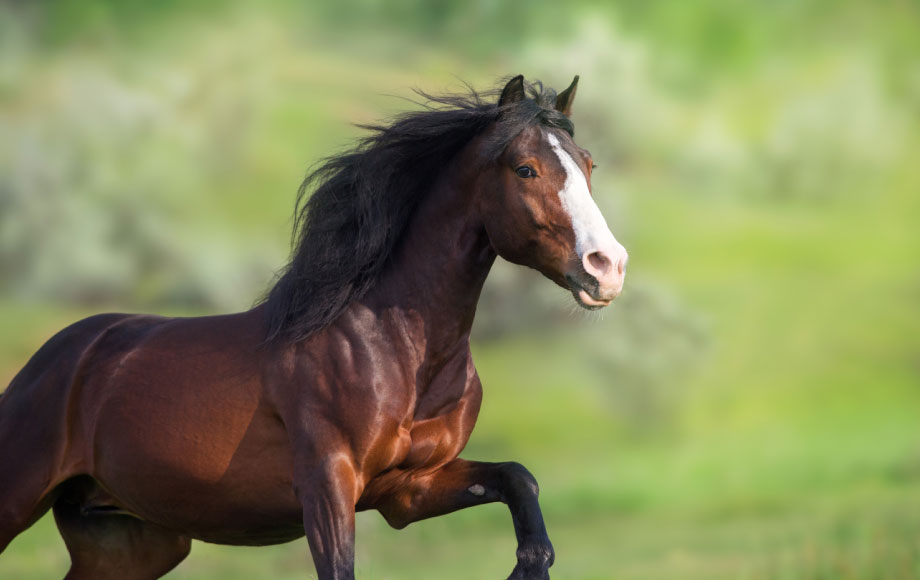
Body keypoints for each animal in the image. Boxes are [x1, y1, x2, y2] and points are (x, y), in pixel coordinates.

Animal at [0, 74, 628, 580]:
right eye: (526, 168)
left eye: (589, 164)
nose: (608, 267)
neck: (396, 351)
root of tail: (53, 361)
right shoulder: (328, 485)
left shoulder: (411, 487)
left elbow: (520, 479)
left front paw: (530, 563)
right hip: (23, 504)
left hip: (128, 538)